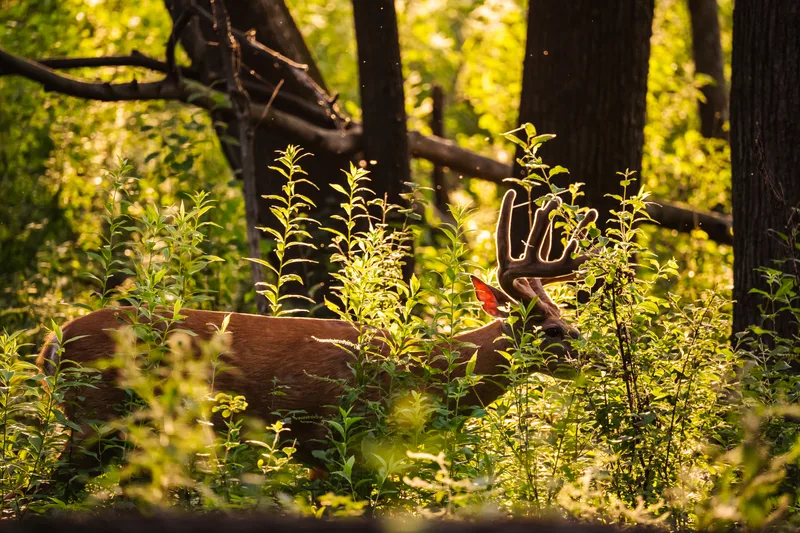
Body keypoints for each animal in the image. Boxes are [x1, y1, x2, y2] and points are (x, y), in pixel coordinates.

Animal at [37, 190, 597, 469]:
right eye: (550, 328)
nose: (591, 357)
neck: (423, 374)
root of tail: (50, 346)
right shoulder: (335, 437)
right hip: (95, 418)